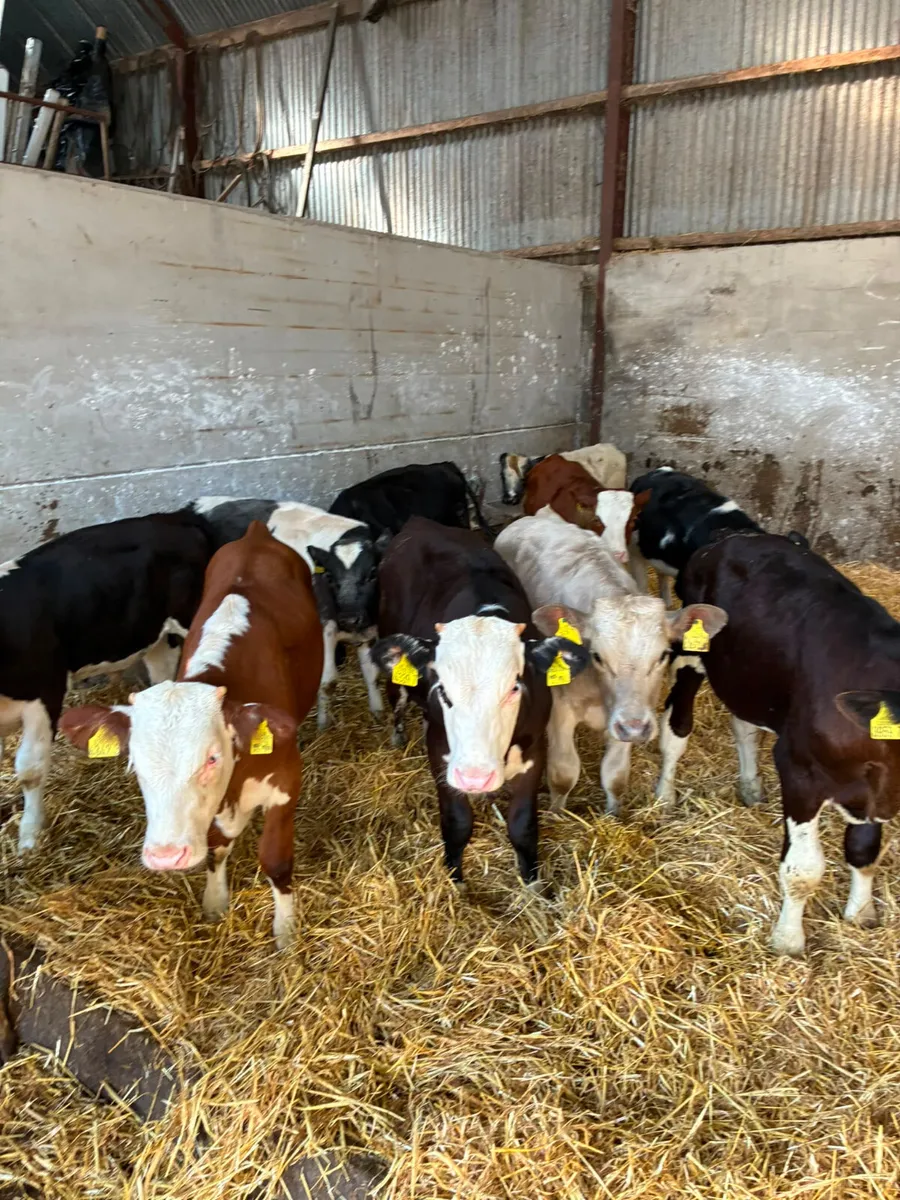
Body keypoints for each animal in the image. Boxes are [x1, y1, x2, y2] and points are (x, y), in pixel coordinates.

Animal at [58, 522, 323, 948]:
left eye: (211, 758)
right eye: (135, 765)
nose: (166, 856)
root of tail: (256, 533)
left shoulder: (286, 784)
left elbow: (276, 860)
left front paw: (286, 930)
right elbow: (215, 848)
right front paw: (215, 902)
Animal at [190, 497, 388, 729]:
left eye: (373, 573)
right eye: (329, 577)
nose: (349, 618)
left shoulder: (368, 627)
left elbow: (372, 674)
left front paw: (378, 712)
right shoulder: (324, 627)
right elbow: (327, 681)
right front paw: (323, 724)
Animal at [369, 517, 590, 887]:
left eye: (514, 688)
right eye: (442, 689)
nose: (475, 777)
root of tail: (419, 522)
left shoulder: (535, 750)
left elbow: (523, 824)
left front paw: (533, 884)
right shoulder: (441, 752)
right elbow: (457, 822)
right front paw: (454, 882)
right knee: (396, 700)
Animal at [495, 509, 727, 814]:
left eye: (663, 655)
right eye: (597, 656)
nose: (634, 729)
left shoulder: (629, 714)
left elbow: (615, 775)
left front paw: (614, 814)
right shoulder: (560, 709)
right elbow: (563, 772)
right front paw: (557, 813)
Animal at [655, 530, 900, 957]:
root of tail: (734, 537)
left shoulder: (871, 790)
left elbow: (864, 850)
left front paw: (861, 913)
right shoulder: (800, 770)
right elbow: (803, 869)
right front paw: (788, 940)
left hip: (749, 675)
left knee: (744, 724)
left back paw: (750, 785)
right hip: (693, 652)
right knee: (677, 727)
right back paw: (664, 795)